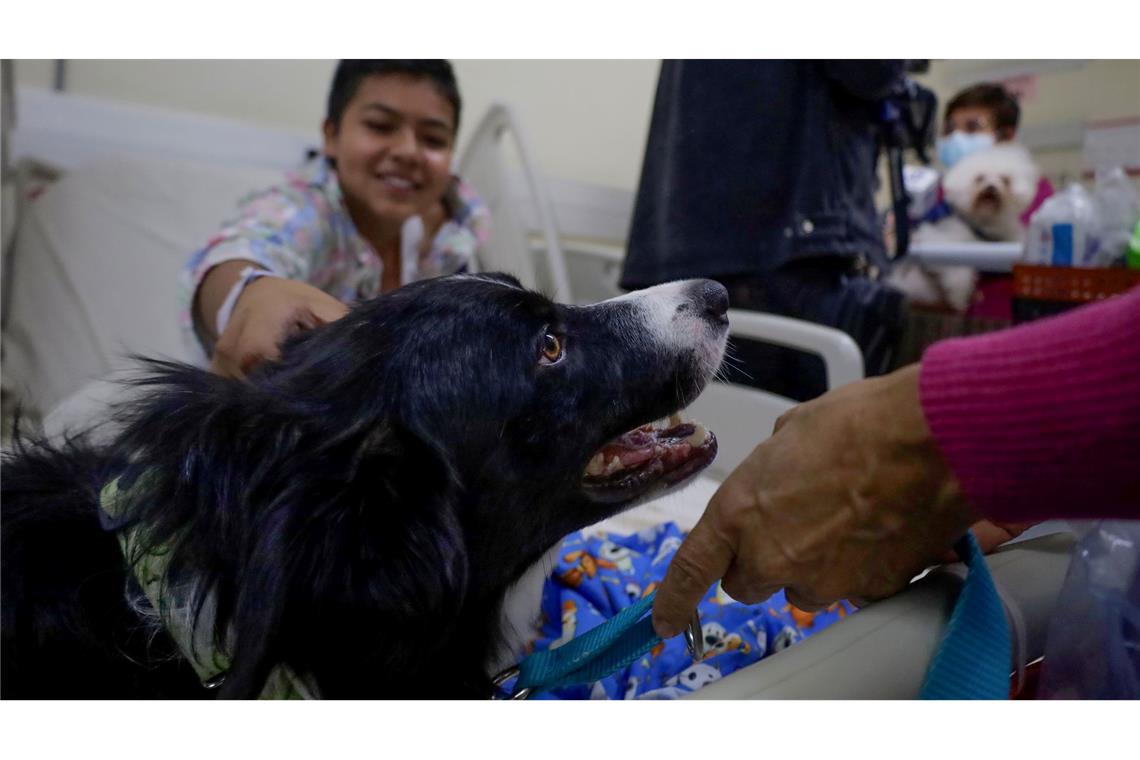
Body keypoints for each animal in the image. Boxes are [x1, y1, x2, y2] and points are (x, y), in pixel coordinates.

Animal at [889, 142, 1044, 312]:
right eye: (980, 178)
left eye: (1005, 180)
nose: (991, 187)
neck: (984, 220)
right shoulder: (947, 245)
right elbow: (959, 275)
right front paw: (960, 301)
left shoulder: (1006, 232)